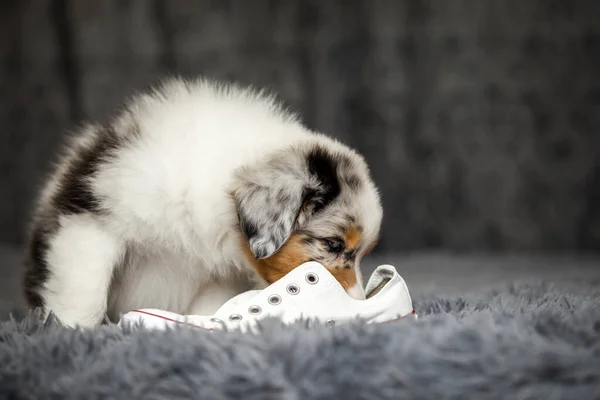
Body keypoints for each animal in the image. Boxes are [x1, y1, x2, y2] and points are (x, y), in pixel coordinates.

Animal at [23, 76, 384, 326]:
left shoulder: (218, 276)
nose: (358, 301)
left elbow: (210, 306)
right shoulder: (91, 224)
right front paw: (74, 334)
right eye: (333, 245)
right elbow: (85, 294)